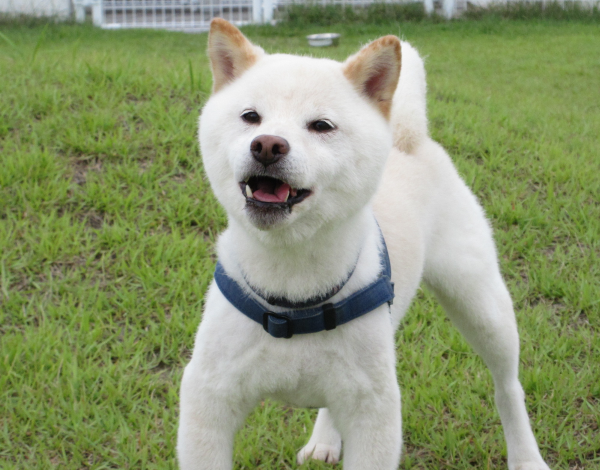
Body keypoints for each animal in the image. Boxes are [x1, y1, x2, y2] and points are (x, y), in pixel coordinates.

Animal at [177, 18, 551, 470]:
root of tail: (410, 139)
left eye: (321, 126)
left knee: (508, 386)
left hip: (481, 305)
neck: (294, 291)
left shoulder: (375, 412)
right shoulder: (208, 399)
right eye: (250, 116)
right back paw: (324, 440)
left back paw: (527, 456)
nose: (267, 144)